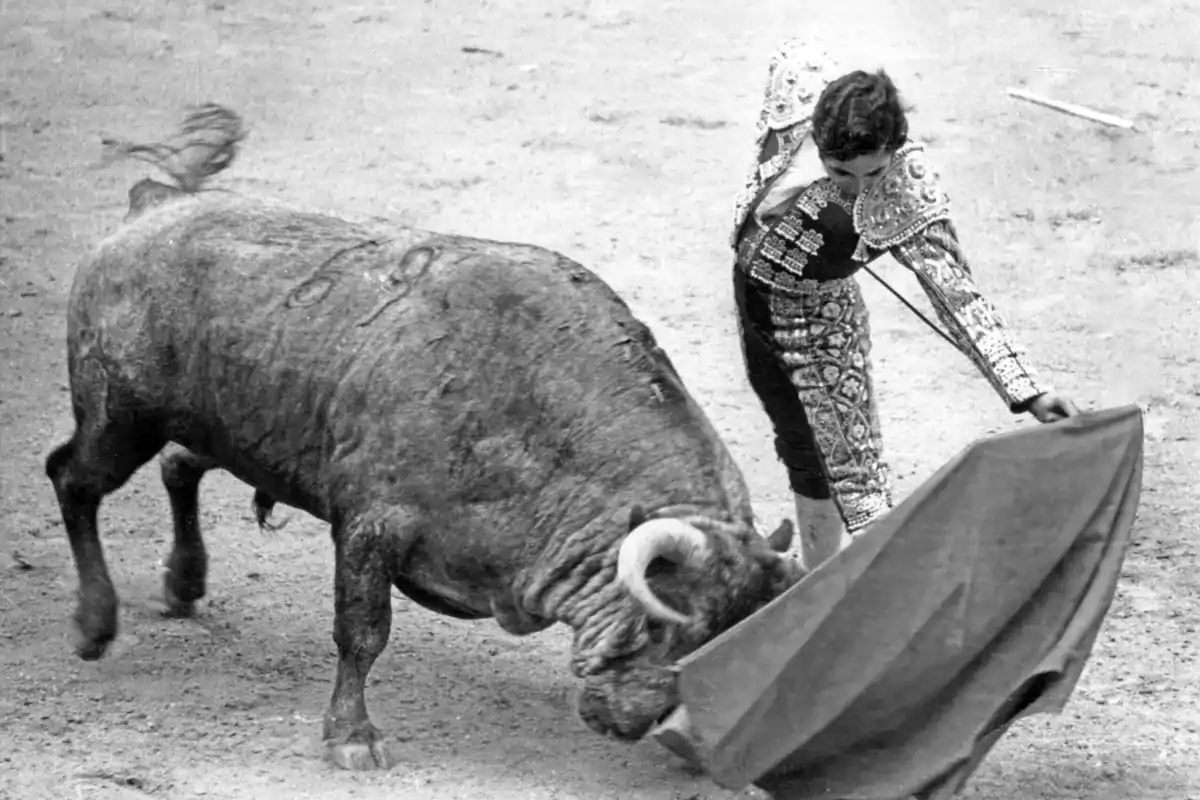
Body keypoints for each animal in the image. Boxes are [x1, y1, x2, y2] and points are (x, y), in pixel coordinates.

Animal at [44, 106, 806, 767]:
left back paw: (183, 582)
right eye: (660, 624)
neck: (532, 419)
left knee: (179, 465)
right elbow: (362, 632)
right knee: (72, 478)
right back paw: (94, 623)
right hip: (120, 421)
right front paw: (352, 737)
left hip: (223, 426)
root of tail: (154, 205)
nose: (639, 724)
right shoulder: (369, 527)